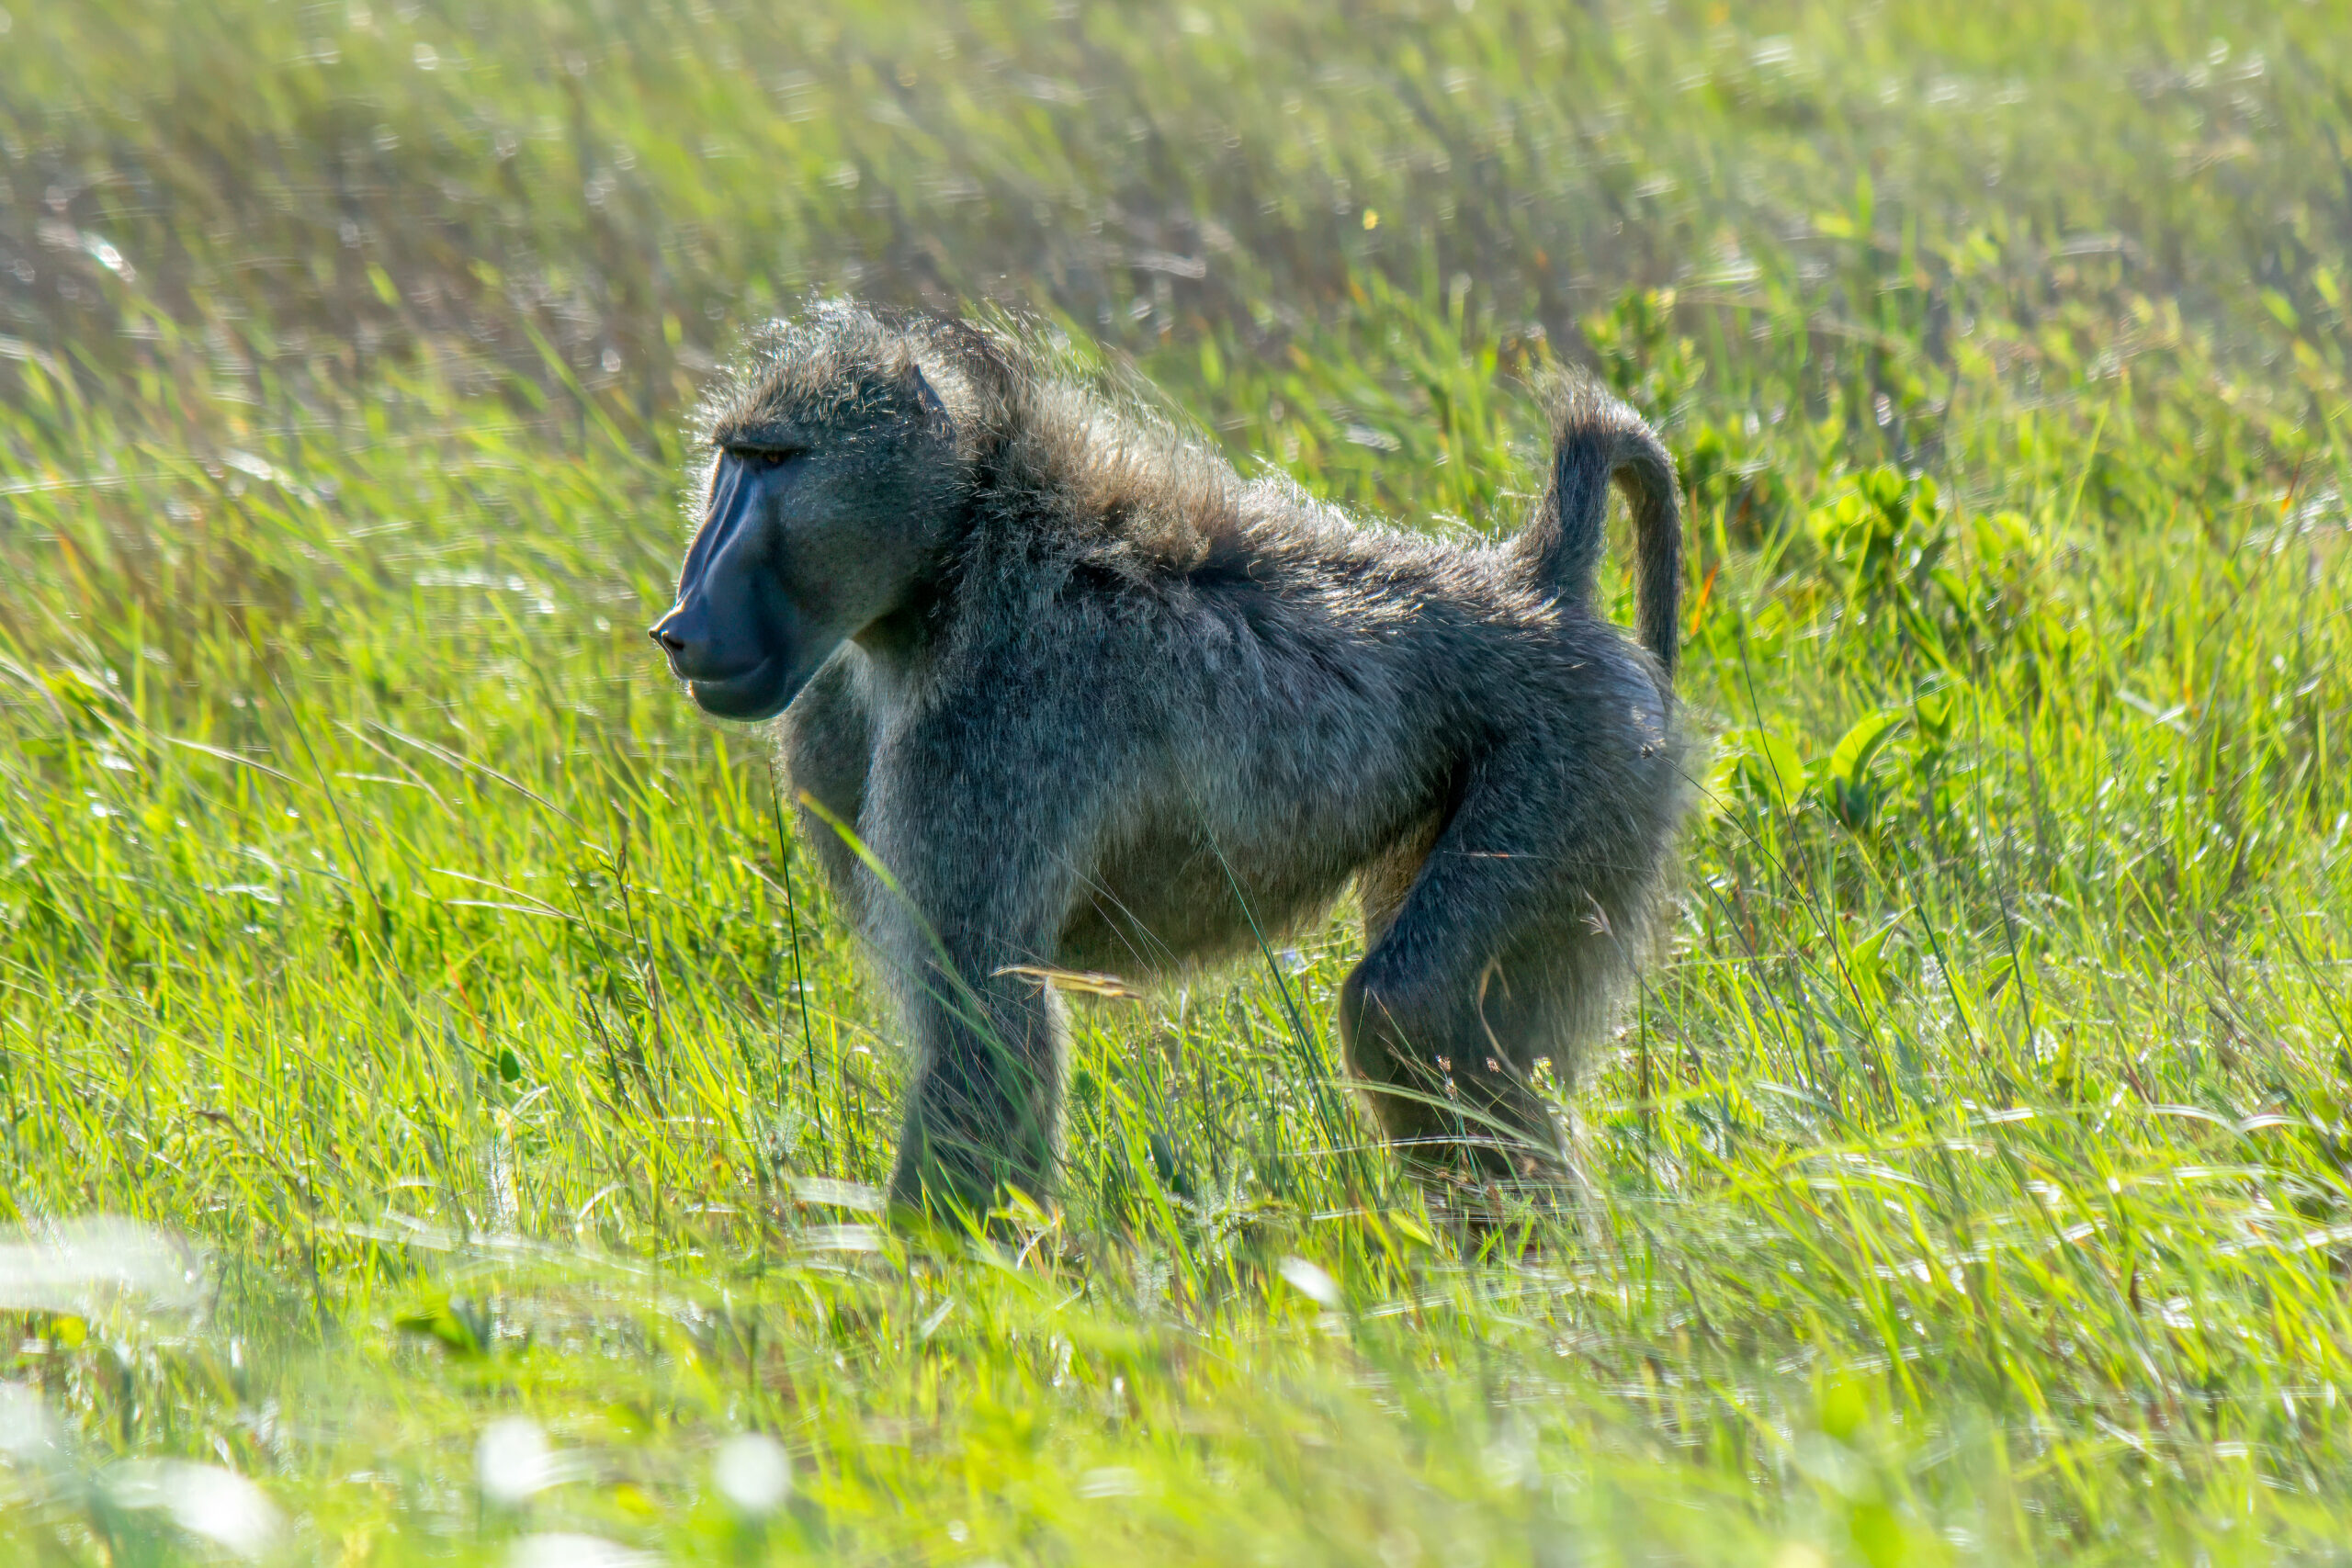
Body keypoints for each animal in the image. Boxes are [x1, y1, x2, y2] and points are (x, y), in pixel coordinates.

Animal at [650, 301, 1686, 1218]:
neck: (955, 559)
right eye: (730, 460)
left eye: (772, 461)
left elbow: (982, 1035)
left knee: (1407, 1010)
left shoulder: (990, 734)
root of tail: (1534, 589)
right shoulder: (831, 713)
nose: (679, 623)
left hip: (1575, 762)